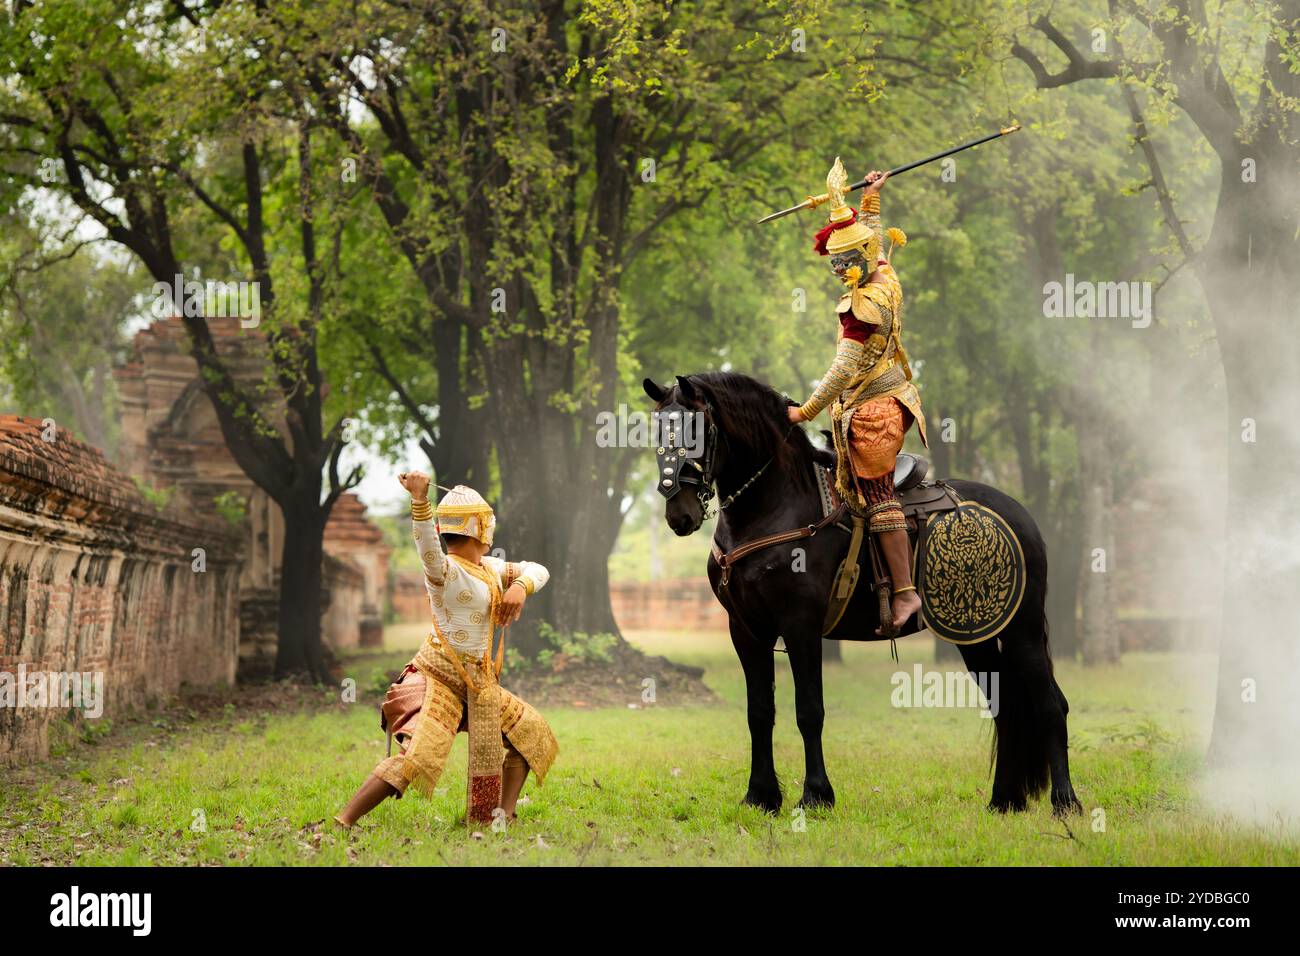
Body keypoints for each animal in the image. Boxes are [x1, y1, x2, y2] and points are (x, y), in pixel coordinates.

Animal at [644, 371, 1081, 816]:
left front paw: (816, 794)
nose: (679, 513)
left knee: (1050, 704)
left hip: (1022, 629)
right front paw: (761, 795)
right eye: (656, 430)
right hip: (975, 638)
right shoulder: (748, 631)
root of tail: (1020, 514)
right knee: (1004, 704)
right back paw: (1003, 800)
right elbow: (759, 712)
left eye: (699, 430)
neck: (777, 506)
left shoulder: (800, 626)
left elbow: (809, 711)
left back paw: (1065, 801)